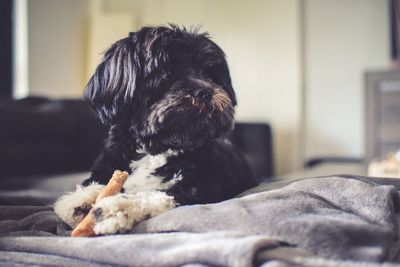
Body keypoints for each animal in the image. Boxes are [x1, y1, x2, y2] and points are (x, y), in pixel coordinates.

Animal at [54, 24, 256, 234]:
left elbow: (156, 196)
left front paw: (118, 208)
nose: (206, 91)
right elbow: (101, 181)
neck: (156, 148)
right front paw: (81, 198)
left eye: (210, 74)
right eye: (167, 73)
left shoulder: (200, 187)